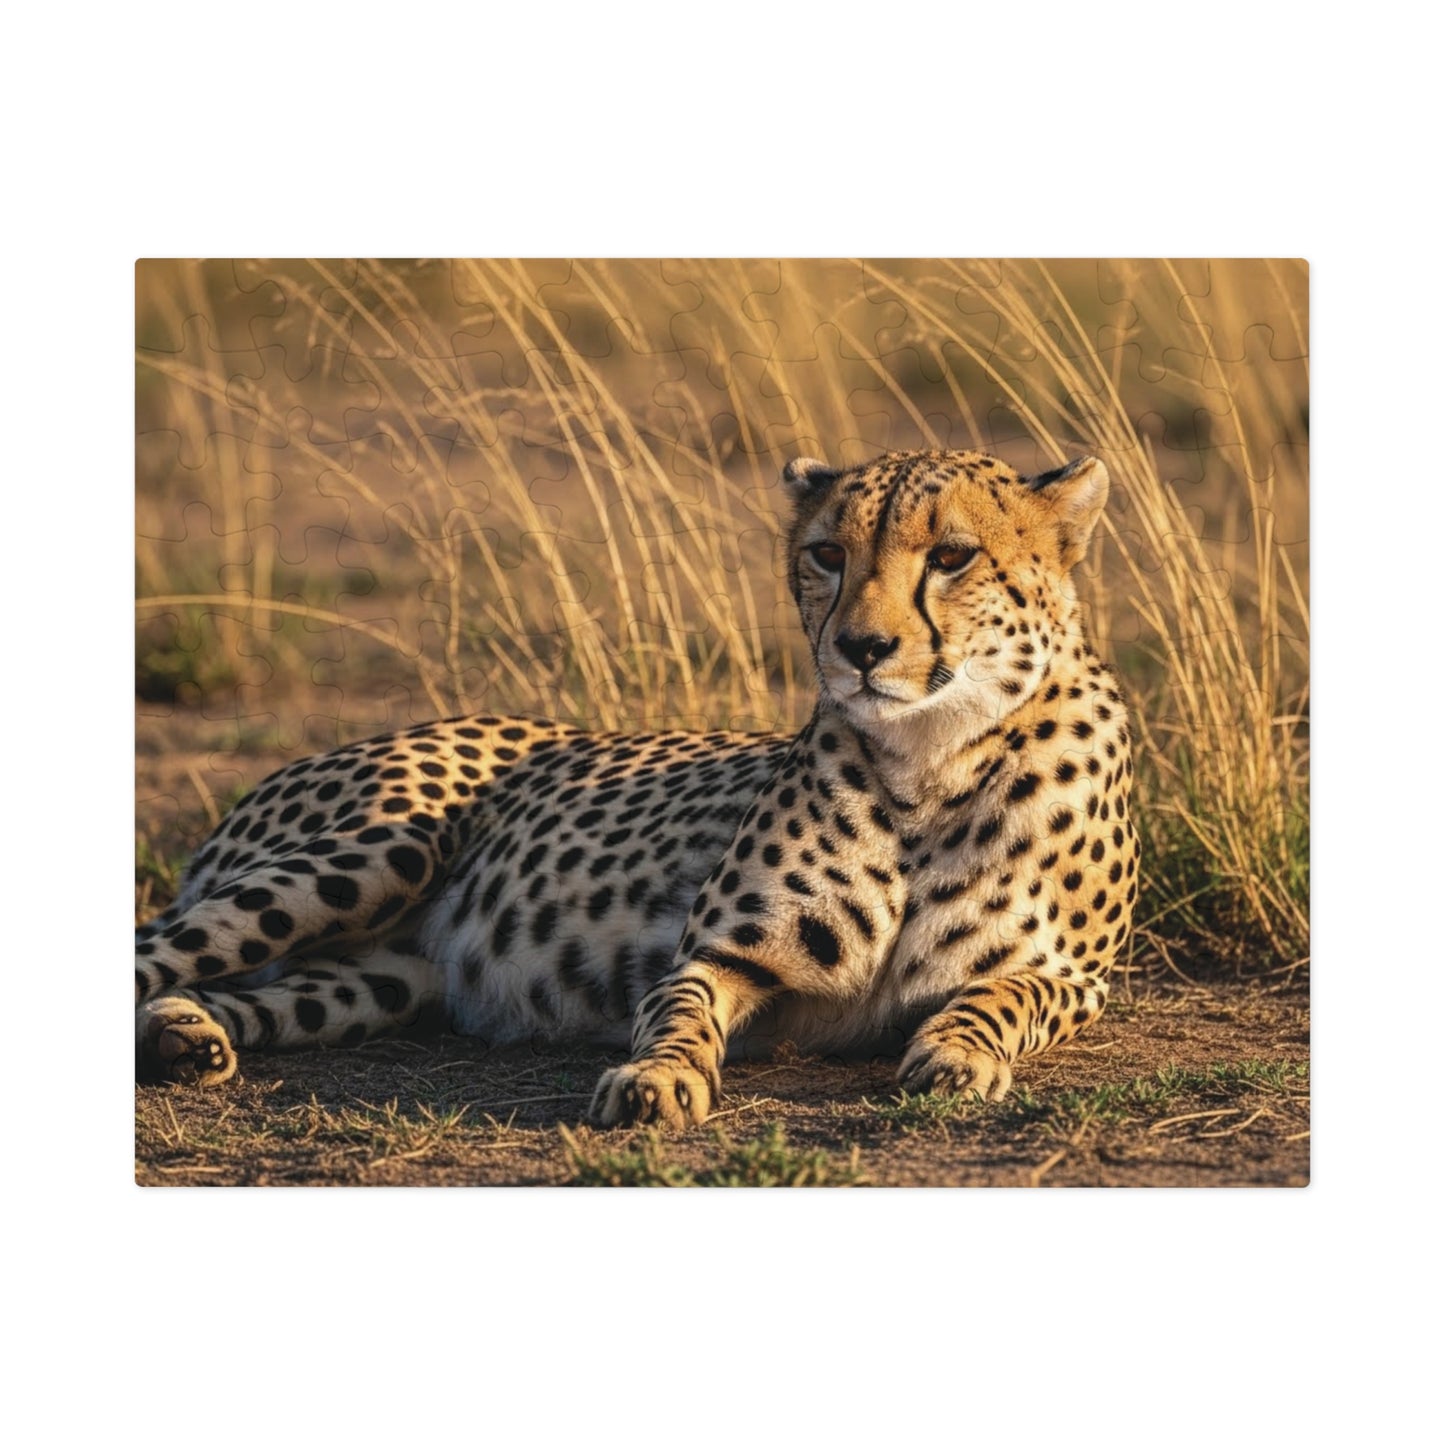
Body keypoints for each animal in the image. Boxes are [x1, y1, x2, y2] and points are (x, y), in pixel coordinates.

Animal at [136, 446, 1139, 1129]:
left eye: (952, 556)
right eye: (826, 554)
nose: (860, 647)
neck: (930, 760)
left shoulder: (1077, 977)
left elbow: (1003, 996)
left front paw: (957, 1052)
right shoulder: (719, 952)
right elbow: (678, 1012)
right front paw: (657, 1079)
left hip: (385, 976)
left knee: (239, 989)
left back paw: (187, 1035)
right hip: (382, 849)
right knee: (152, 949)